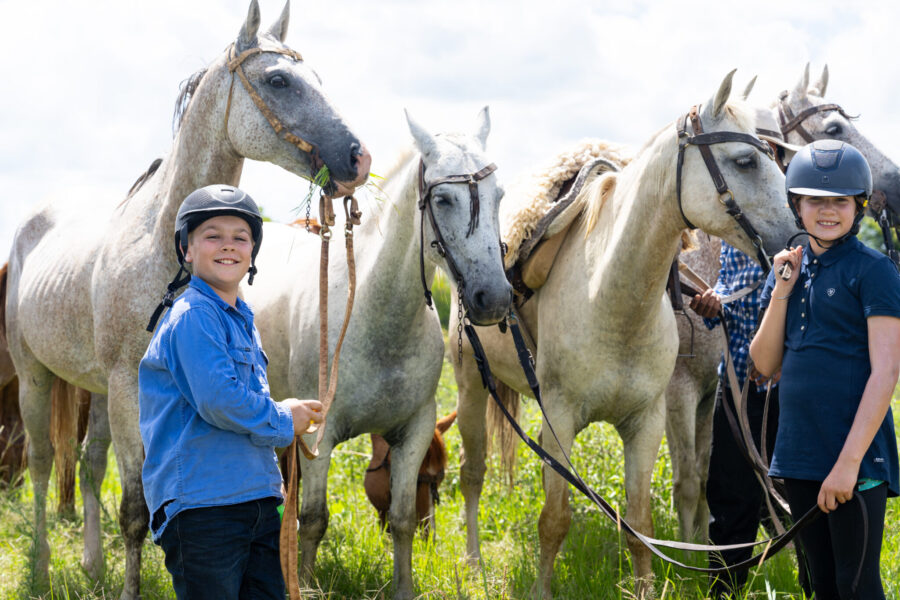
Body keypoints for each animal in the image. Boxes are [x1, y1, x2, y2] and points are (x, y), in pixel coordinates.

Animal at [2, 2, 370, 596]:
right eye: (279, 80)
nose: (358, 159)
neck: (159, 245)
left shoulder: (120, 389)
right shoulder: (128, 389)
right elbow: (134, 510)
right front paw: (130, 589)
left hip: (95, 389)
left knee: (88, 464)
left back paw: (92, 564)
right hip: (34, 375)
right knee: (40, 463)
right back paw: (40, 566)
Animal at [243, 108, 511, 600]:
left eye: (498, 196)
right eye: (442, 199)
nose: (494, 298)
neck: (376, 319)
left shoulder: (414, 432)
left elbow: (402, 520)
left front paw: (403, 586)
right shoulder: (318, 435)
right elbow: (313, 520)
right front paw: (305, 583)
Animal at [449, 71, 797, 598]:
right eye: (745, 160)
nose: (797, 240)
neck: (611, 296)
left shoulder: (646, 422)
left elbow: (639, 523)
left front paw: (646, 587)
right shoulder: (561, 417)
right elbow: (554, 519)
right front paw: (542, 589)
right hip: (471, 383)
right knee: (472, 476)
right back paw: (472, 562)